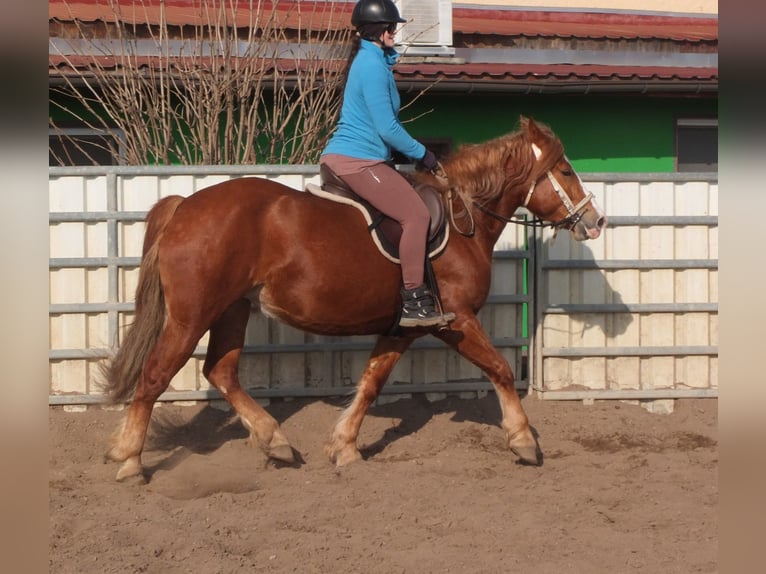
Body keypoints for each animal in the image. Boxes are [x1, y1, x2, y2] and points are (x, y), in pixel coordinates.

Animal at [102, 119, 608, 484]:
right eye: (566, 171)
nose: (596, 221)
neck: (463, 217)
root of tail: (184, 206)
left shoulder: (403, 328)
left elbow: (370, 383)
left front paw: (344, 447)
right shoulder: (456, 321)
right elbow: (500, 369)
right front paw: (523, 441)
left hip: (232, 309)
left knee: (221, 372)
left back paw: (275, 441)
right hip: (191, 318)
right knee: (154, 376)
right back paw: (130, 460)